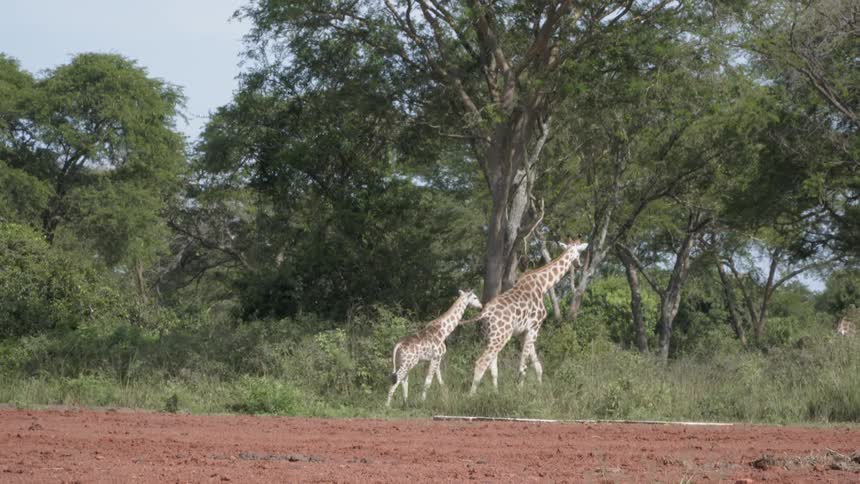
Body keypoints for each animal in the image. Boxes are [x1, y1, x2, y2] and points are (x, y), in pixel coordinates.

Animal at [465, 237, 588, 394]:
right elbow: (523, 364)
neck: (543, 284)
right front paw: (520, 391)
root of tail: (485, 313)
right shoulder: (534, 327)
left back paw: (495, 393)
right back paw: (471, 396)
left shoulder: (523, 332)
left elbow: (537, 365)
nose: (579, 264)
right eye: (579, 253)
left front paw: (539, 389)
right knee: (481, 362)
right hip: (501, 336)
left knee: (492, 366)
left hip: (491, 336)